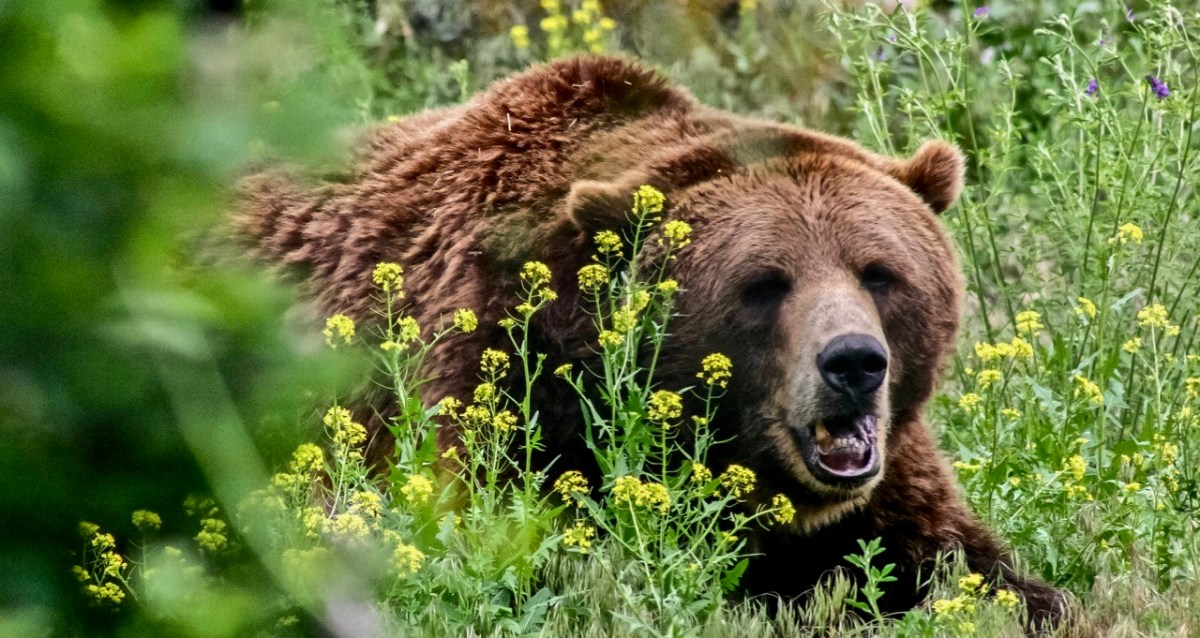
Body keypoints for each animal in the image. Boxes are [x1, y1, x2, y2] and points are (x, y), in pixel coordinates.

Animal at [233, 56, 1067, 629]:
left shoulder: (885, 482)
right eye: (766, 283)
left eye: (880, 272)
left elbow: (960, 562)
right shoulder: (498, 402)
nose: (854, 362)